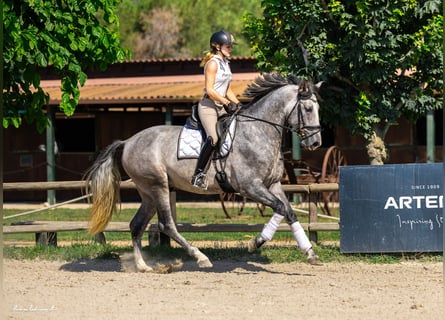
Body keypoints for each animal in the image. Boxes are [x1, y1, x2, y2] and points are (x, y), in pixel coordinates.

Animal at [86, 71, 322, 272]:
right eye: (308, 109)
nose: (316, 143)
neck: (259, 131)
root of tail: (128, 142)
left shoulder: (272, 184)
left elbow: (289, 212)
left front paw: (310, 254)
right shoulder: (250, 187)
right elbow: (280, 208)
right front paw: (254, 243)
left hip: (148, 192)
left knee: (137, 225)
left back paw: (143, 266)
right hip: (158, 186)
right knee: (166, 224)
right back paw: (200, 257)